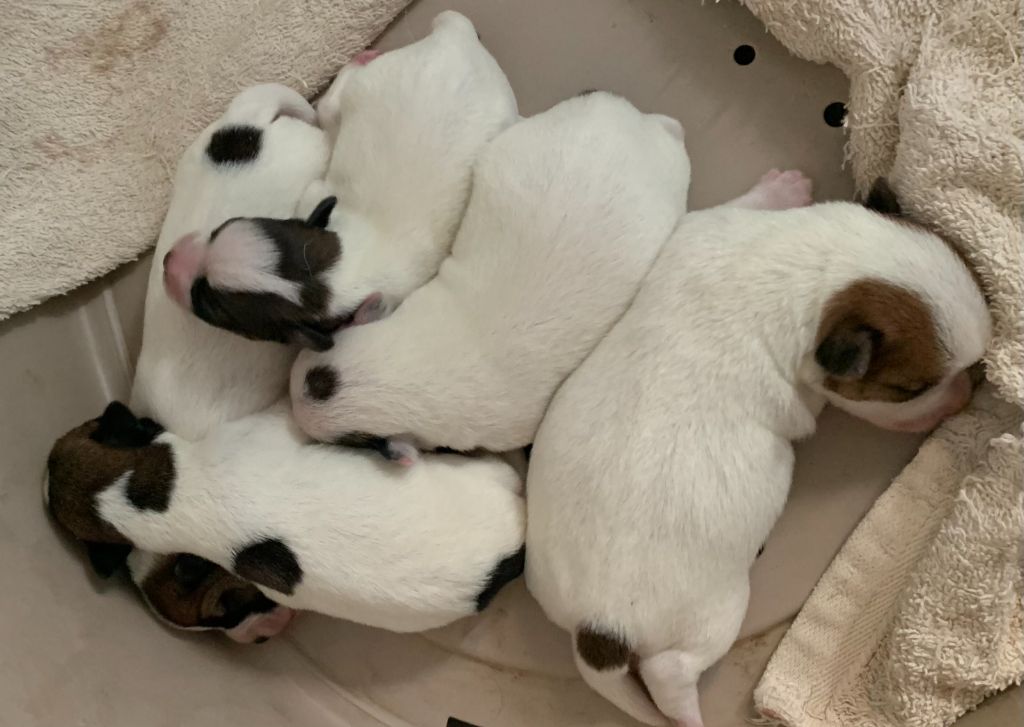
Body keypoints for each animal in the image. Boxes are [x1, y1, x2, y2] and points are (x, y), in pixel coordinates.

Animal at [164, 9, 524, 352]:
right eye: (219, 229)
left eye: (207, 305)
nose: (167, 260)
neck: (343, 269)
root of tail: (455, 39)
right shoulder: (316, 197)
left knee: (328, 105)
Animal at [524, 178, 987, 727]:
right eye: (911, 389)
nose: (967, 392)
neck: (810, 273)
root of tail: (596, 631)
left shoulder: (705, 230)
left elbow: (734, 208)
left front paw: (784, 186)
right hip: (714, 614)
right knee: (669, 670)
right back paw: (689, 714)